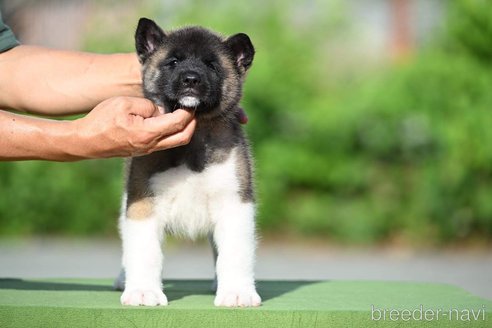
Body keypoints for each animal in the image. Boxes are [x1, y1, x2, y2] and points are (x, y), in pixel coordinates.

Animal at [116, 18, 262, 308]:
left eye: (212, 65)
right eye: (173, 62)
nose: (191, 79)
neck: (195, 138)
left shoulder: (235, 204)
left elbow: (235, 254)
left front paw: (237, 291)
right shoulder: (142, 204)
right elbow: (144, 251)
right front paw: (143, 291)